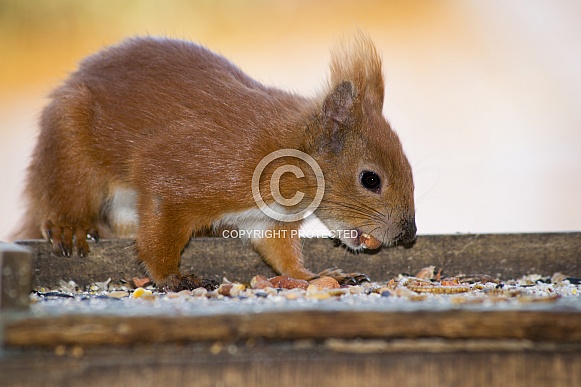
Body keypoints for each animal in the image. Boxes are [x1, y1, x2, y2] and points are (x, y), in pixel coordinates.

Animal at [15, 34, 414, 292]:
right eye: (371, 179)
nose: (408, 236)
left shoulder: (266, 221)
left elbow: (280, 255)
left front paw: (314, 277)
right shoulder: (180, 174)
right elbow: (159, 237)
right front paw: (172, 278)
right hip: (69, 149)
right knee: (63, 194)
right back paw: (69, 226)